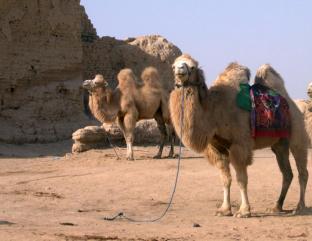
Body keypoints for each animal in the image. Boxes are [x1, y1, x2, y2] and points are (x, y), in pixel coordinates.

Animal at [169, 53, 308, 217]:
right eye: (173, 65)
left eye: (192, 67)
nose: (180, 69)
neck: (214, 112)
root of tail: (291, 103)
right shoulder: (217, 148)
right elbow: (225, 179)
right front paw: (224, 209)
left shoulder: (239, 144)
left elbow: (241, 179)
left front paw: (244, 211)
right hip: (279, 144)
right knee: (287, 173)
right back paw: (276, 206)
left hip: (298, 131)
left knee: (302, 170)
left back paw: (300, 207)